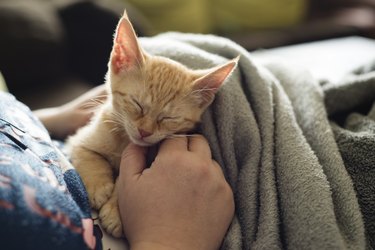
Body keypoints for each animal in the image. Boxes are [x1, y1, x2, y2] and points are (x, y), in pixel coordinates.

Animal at [67, 10, 238, 237]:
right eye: (137, 104)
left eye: (168, 118)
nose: (144, 132)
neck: (124, 141)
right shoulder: (79, 140)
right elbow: (89, 156)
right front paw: (98, 186)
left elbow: (125, 182)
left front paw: (116, 210)